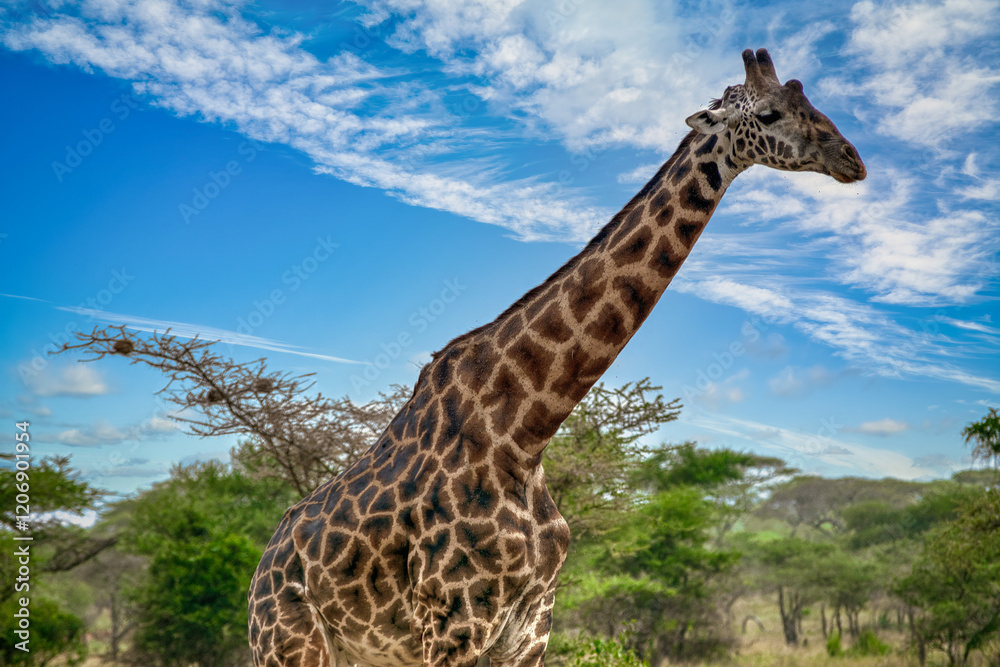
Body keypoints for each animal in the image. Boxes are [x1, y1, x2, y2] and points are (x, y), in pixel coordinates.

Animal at [248, 48, 865, 667]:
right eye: (767, 114)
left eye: (806, 97)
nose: (852, 159)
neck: (524, 435)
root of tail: (261, 569)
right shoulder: (452, 619)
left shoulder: (531, 625)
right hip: (289, 643)